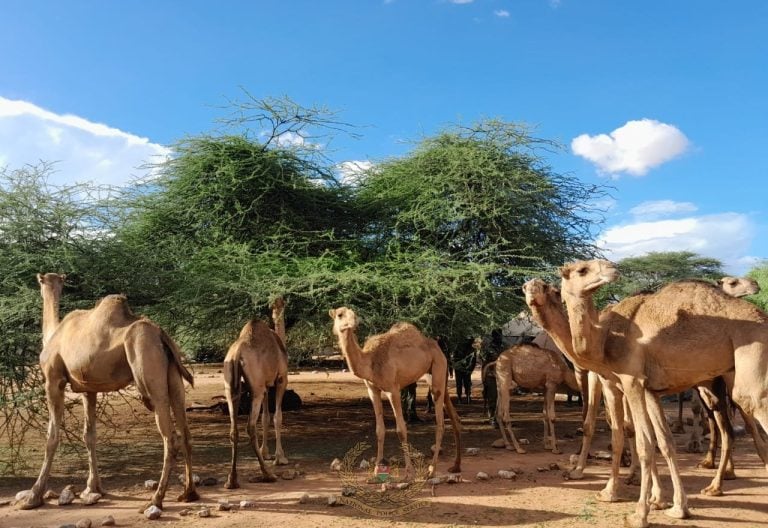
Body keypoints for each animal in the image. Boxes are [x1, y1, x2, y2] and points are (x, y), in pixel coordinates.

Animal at [18, 275, 198, 511]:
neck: (54, 333)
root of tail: (160, 333)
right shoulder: (88, 389)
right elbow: (89, 435)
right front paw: (92, 488)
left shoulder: (53, 379)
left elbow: (52, 436)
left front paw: (33, 496)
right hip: (173, 375)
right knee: (185, 430)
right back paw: (188, 493)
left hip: (149, 368)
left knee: (170, 437)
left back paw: (156, 499)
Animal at [223, 304, 289, 489]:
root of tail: (236, 355)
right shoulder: (281, 379)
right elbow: (277, 417)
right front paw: (280, 457)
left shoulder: (266, 385)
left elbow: (265, 418)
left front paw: (265, 452)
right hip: (257, 391)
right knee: (250, 427)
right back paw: (268, 474)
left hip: (230, 388)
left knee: (234, 429)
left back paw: (232, 480)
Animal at [329, 307, 462, 477]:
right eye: (340, 315)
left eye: (354, 313)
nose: (354, 322)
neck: (370, 361)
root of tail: (438, 347)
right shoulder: (372, 390)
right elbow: (379, 430)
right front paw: (376, 470)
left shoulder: (393, 390)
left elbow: (401, 430)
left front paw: (409, 471)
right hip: (435, 374)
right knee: (453, 416)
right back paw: (456, 466)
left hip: (438, 367)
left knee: (440, 422)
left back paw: (432, 469)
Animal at [558, 259, 768, 528]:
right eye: (582, 270)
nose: (612, 269)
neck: (606, 338)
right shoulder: (650, 388)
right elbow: (664, 441)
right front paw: (677, 507)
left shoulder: (631, 380)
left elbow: (643, 442)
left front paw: (637, 512)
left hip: (750, 363)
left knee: (750, 406)